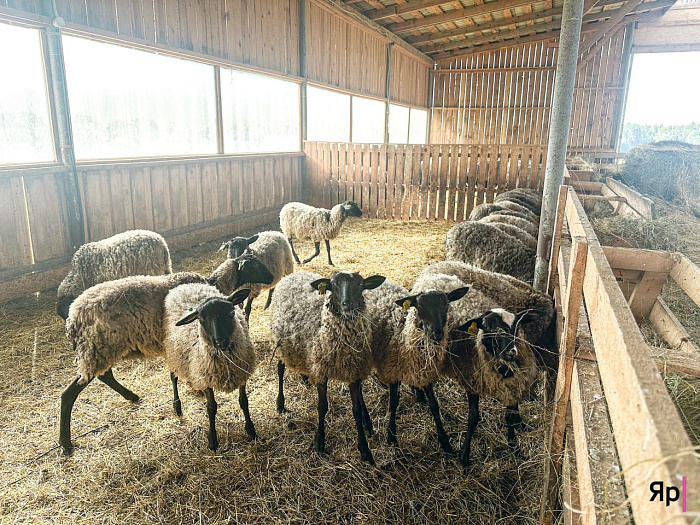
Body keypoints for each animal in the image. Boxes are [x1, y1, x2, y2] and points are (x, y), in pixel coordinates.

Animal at [164, 284, 258, 448]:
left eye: (232, 313)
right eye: (201, 319)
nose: (220, 342)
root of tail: (183, 286)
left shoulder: (242, 372)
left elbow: (243, 401)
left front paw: (251, 430)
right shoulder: (206, 378)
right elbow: (211, 408)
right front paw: (213, 441)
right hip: (174, 353)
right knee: (173, 376)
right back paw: (177, 406)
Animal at [270, 270, 388, 462]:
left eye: (360, 284)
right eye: (333, 284)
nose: (347, 304)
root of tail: (294, 274)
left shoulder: (353, 372)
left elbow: (356, 409)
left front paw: (365, 449)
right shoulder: (321, 371)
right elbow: (322, 407)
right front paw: (320, 443)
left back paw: (305, 379)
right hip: (282, 344)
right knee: (280, 369)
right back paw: (280, 403)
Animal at [364, 276, 474, 452]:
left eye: (446, 304)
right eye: (419, 306)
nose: (437, 333)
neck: (403, 331)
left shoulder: (424, 371)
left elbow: (434, 405)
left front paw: (445, 443)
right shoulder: (393, 370)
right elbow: (393, 402)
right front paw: (391, 437)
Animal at [442, 308, 540, 466]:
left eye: (515, 326)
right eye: (487, 327)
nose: (511, 352)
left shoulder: (511, 385)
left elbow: (510, 416)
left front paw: (514, 448)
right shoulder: (473, 382)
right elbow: (473, 417)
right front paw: (464, 456)